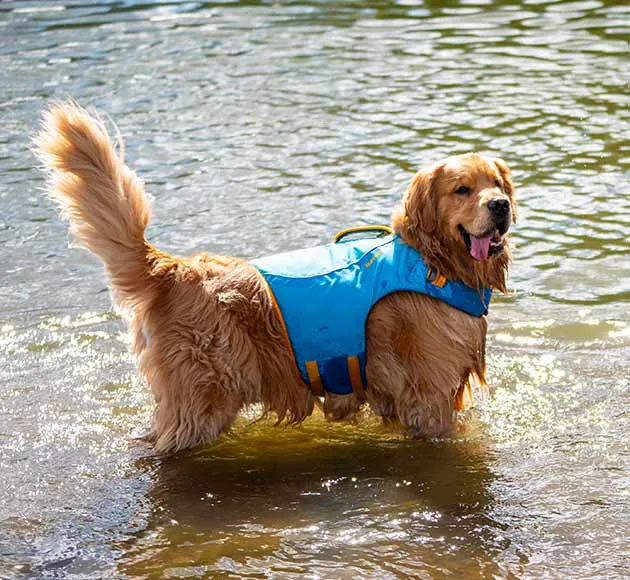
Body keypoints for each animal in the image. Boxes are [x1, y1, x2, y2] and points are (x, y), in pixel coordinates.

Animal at [34, 102, 516, 454]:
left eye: (497, 183)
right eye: (462, 189)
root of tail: (173, 267)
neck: (433, 262)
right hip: (200, 405)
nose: (500, 206)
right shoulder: (429, 396)